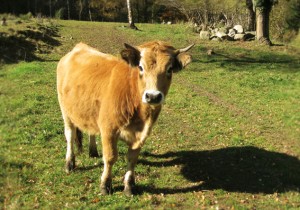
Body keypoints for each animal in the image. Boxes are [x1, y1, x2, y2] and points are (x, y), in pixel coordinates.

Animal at [56, 40, 195, 195]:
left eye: (169, 69)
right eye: (140, 67)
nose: (153, 96)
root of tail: (79, 47)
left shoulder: (141, 134)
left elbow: (132, 159)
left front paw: (129, 185)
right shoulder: (109, 129)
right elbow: (110, 157)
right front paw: (105, 185)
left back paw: (93, 151)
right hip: (65, 111)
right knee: (70, 135)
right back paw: (69, 163)